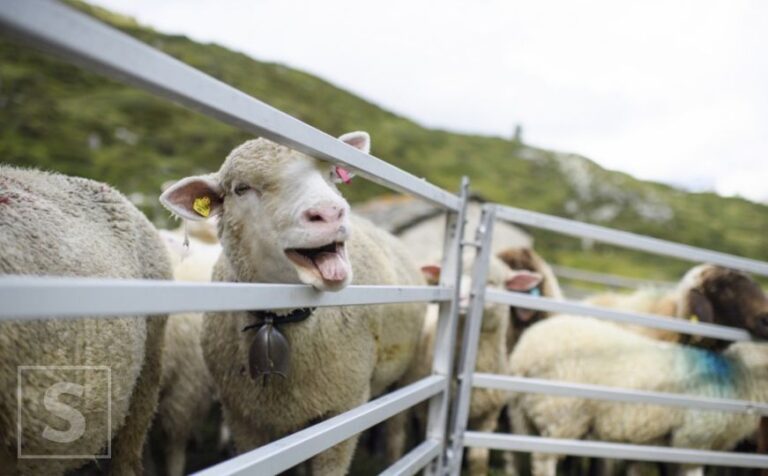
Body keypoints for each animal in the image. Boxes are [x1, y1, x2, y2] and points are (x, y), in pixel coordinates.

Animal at [159, 131, 426, 476]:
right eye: (241, 189)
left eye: (331, 173)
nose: (329, 213)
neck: (279, 320)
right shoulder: (244, 418)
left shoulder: (342, 412)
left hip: (404, 374)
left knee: (395, 428)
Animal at [510, 314, 768, 476]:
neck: (741, 374)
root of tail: (525, 352)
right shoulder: (692, 439)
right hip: (562, 413)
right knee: (543, 460)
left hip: (524, 414)